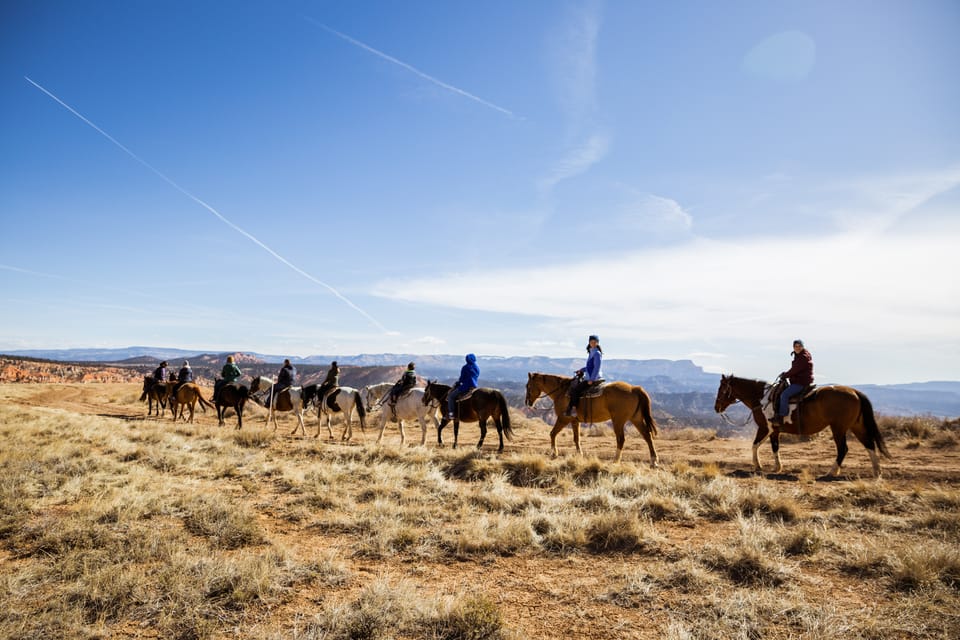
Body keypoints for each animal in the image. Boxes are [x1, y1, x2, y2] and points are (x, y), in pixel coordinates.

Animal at [520, 370, 656, 464]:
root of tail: (634, 389)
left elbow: (552, 433)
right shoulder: (574, 421)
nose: (528, 402)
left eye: (528, 386)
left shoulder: (563, 419)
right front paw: (579, 455)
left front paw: (554, 454)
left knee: (621, 439)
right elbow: (576, 439)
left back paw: (615, 460)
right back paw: (653, 461)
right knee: (647, 436)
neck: (561, 392)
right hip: (636, 419)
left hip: (618, 421)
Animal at [712, 372, 892, 478]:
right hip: (856, 426)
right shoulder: (774, 431)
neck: (762, 399)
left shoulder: (765, 428)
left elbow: (755, 445)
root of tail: (855, 392)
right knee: (869, 444)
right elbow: (775, 448)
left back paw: (832, 471)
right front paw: (777, 467)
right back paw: (877, 472)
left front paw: (758, 466)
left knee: (843, 449)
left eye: (721, 389)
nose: (716, 407)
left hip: (838, 428)